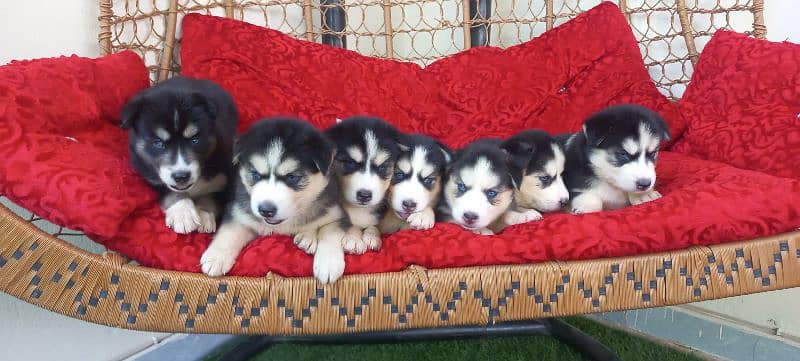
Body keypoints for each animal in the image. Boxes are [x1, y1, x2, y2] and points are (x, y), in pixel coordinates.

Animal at [119, 76, 238, 233]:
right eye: (158, 143)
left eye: (195, 140)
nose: (181, 176)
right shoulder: (150, 177)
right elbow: (170, 191)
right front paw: (183, 214)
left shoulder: (223, 177)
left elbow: (210, 195)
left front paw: (205, 216)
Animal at [199, 116, 346, 282]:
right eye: (255, 174)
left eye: (292, 177)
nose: (266, 210)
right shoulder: (240, 213)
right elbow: (229, 231)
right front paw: (216, 256)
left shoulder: (336, 213)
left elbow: (329, 233)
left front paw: (328, 264)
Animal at [324, 115, 400, 253]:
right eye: (350, 162)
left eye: (382, 167)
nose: (364, 195)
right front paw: (353, 238)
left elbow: (375, 224)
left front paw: (372, 235)